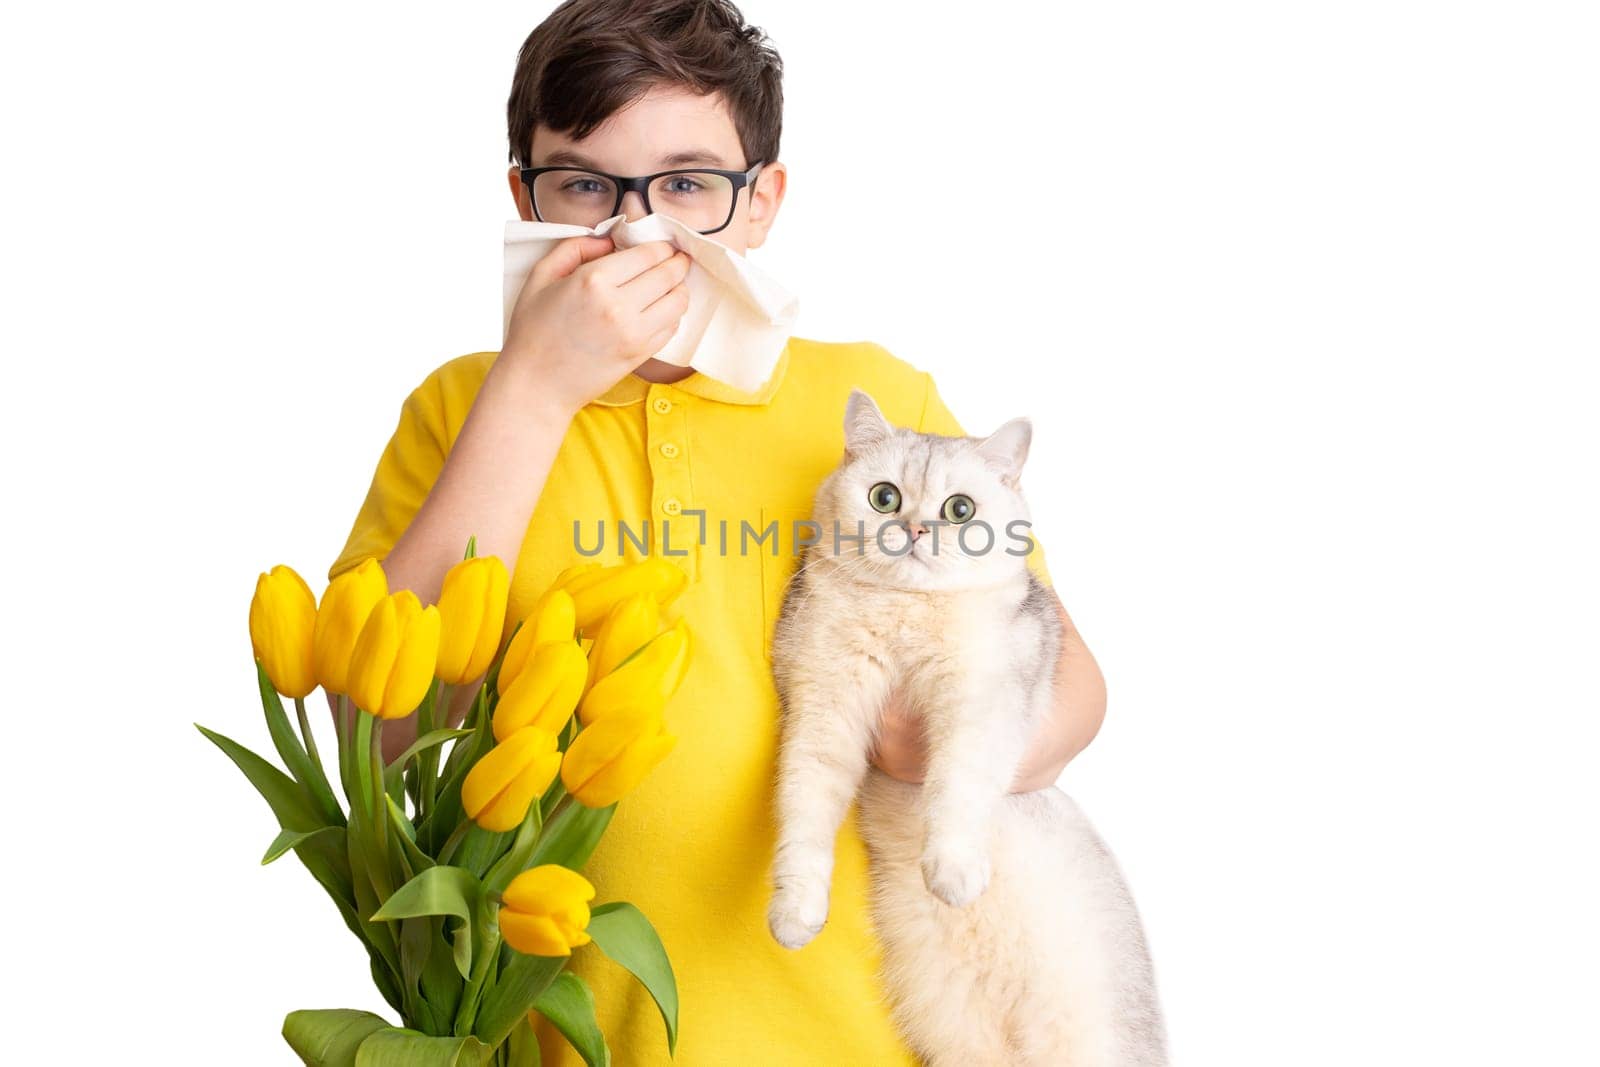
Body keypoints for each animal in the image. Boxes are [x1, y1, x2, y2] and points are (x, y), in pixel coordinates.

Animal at [761, 391, 1164, 1067]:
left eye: (960, 510)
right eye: (885, 498)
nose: (916, 530)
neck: (905, 611)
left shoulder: (981, 704)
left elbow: (955, 786)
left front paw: (951, 872)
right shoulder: (823, 708)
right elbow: (805, 818)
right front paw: (796, 913)